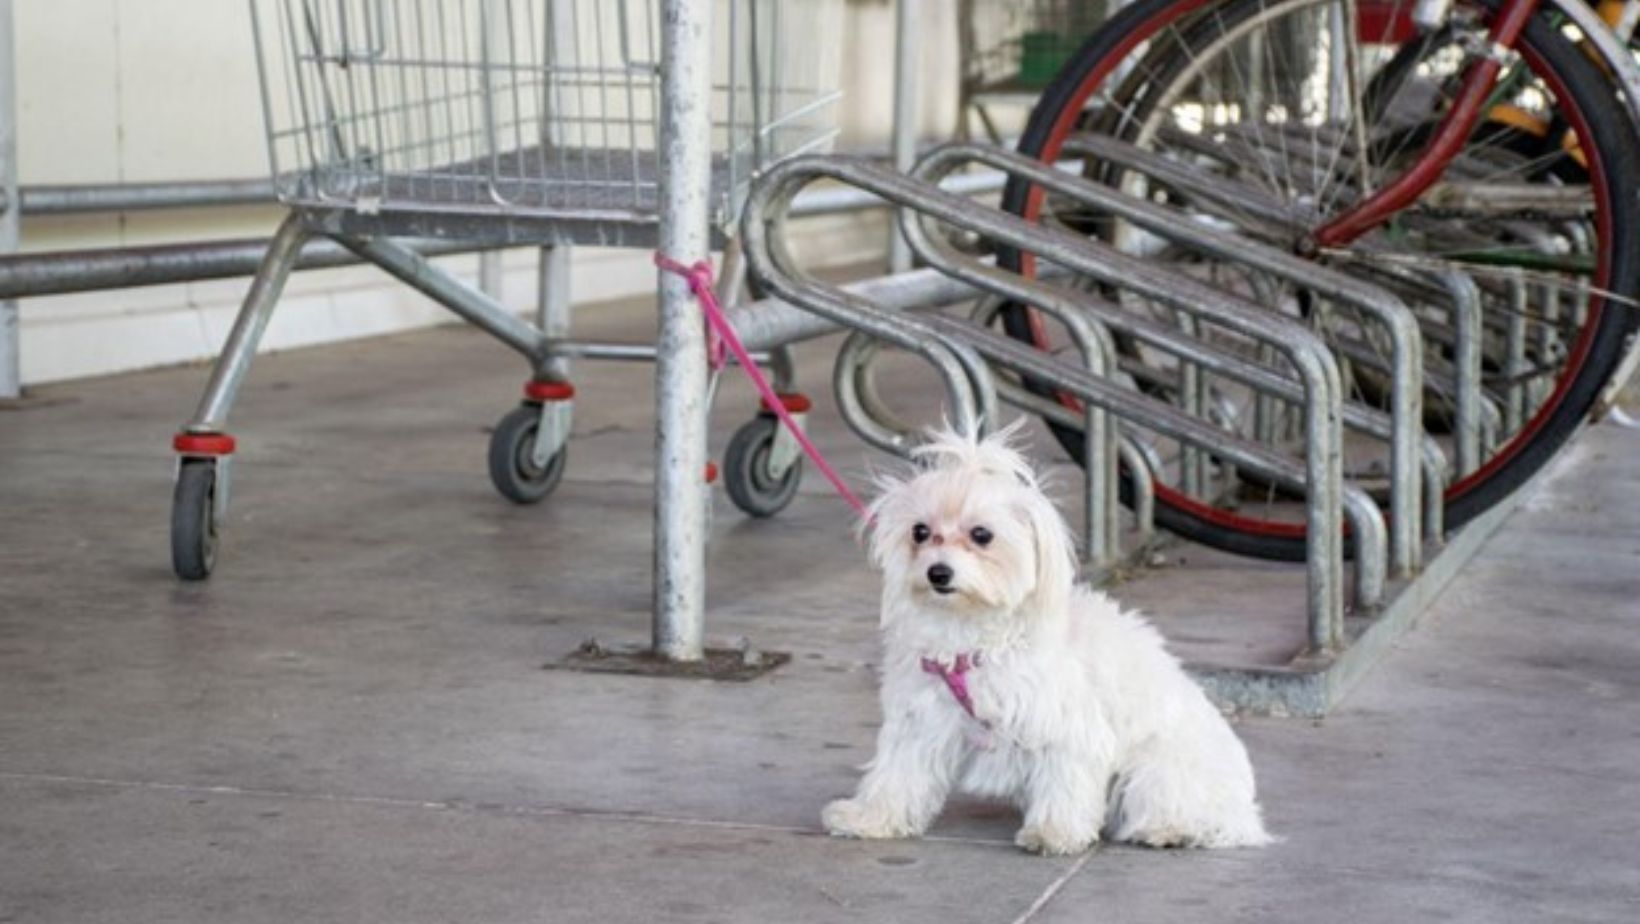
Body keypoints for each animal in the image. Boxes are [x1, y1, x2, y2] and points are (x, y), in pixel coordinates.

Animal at [826, 423, 1272, 853]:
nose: (938, 573)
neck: (972, 634)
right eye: (920, 532)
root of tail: (1245, 813)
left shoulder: (1068, 729)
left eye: (982, 535)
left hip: (1156, 771)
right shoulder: (920, 720)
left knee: (1192, 816)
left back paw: (1168, 829)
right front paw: (869, 818)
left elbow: (1066, 784)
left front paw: (1054, 833)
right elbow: (896, 775)